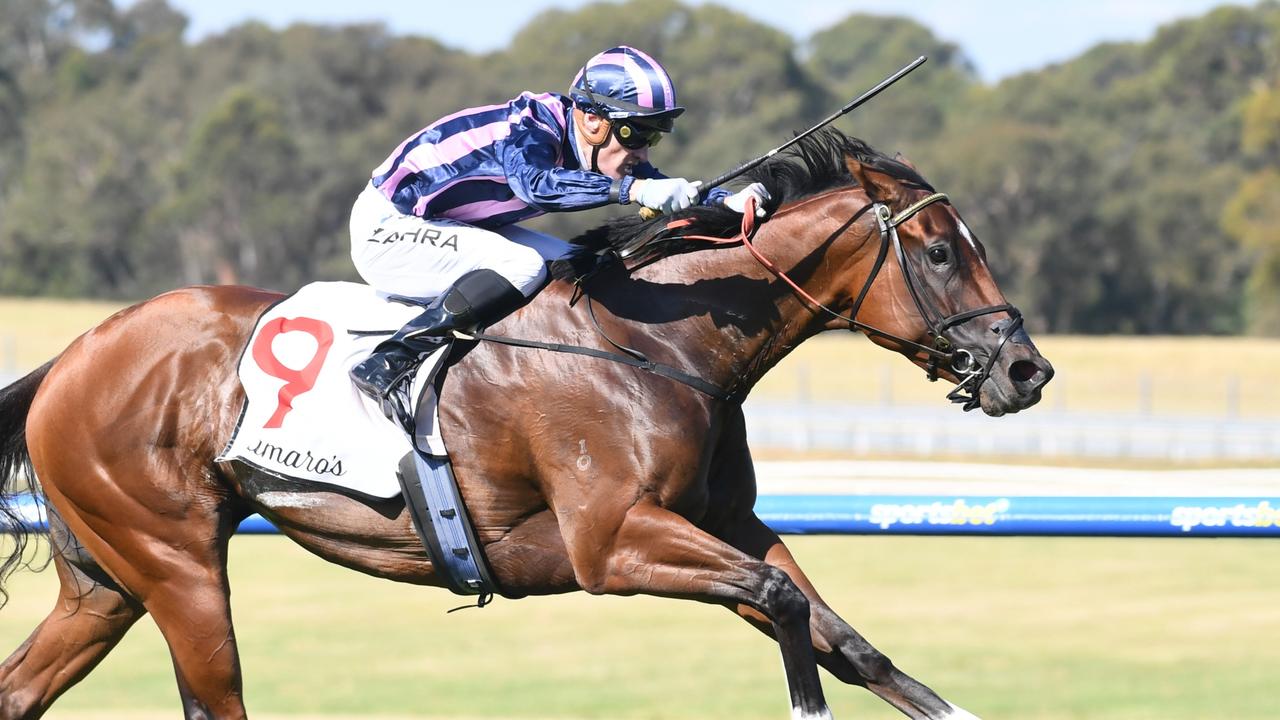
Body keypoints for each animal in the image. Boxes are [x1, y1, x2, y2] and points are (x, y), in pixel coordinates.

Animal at [0, 130, 1049, 717]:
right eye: (942, 252)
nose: (1026, 369)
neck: (654, 337)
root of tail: (74, 356)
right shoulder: (611, 543)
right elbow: (786, 606)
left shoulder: (722, 525)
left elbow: (836, 629)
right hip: (175, 562)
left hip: (107, 582)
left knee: (22, 686)